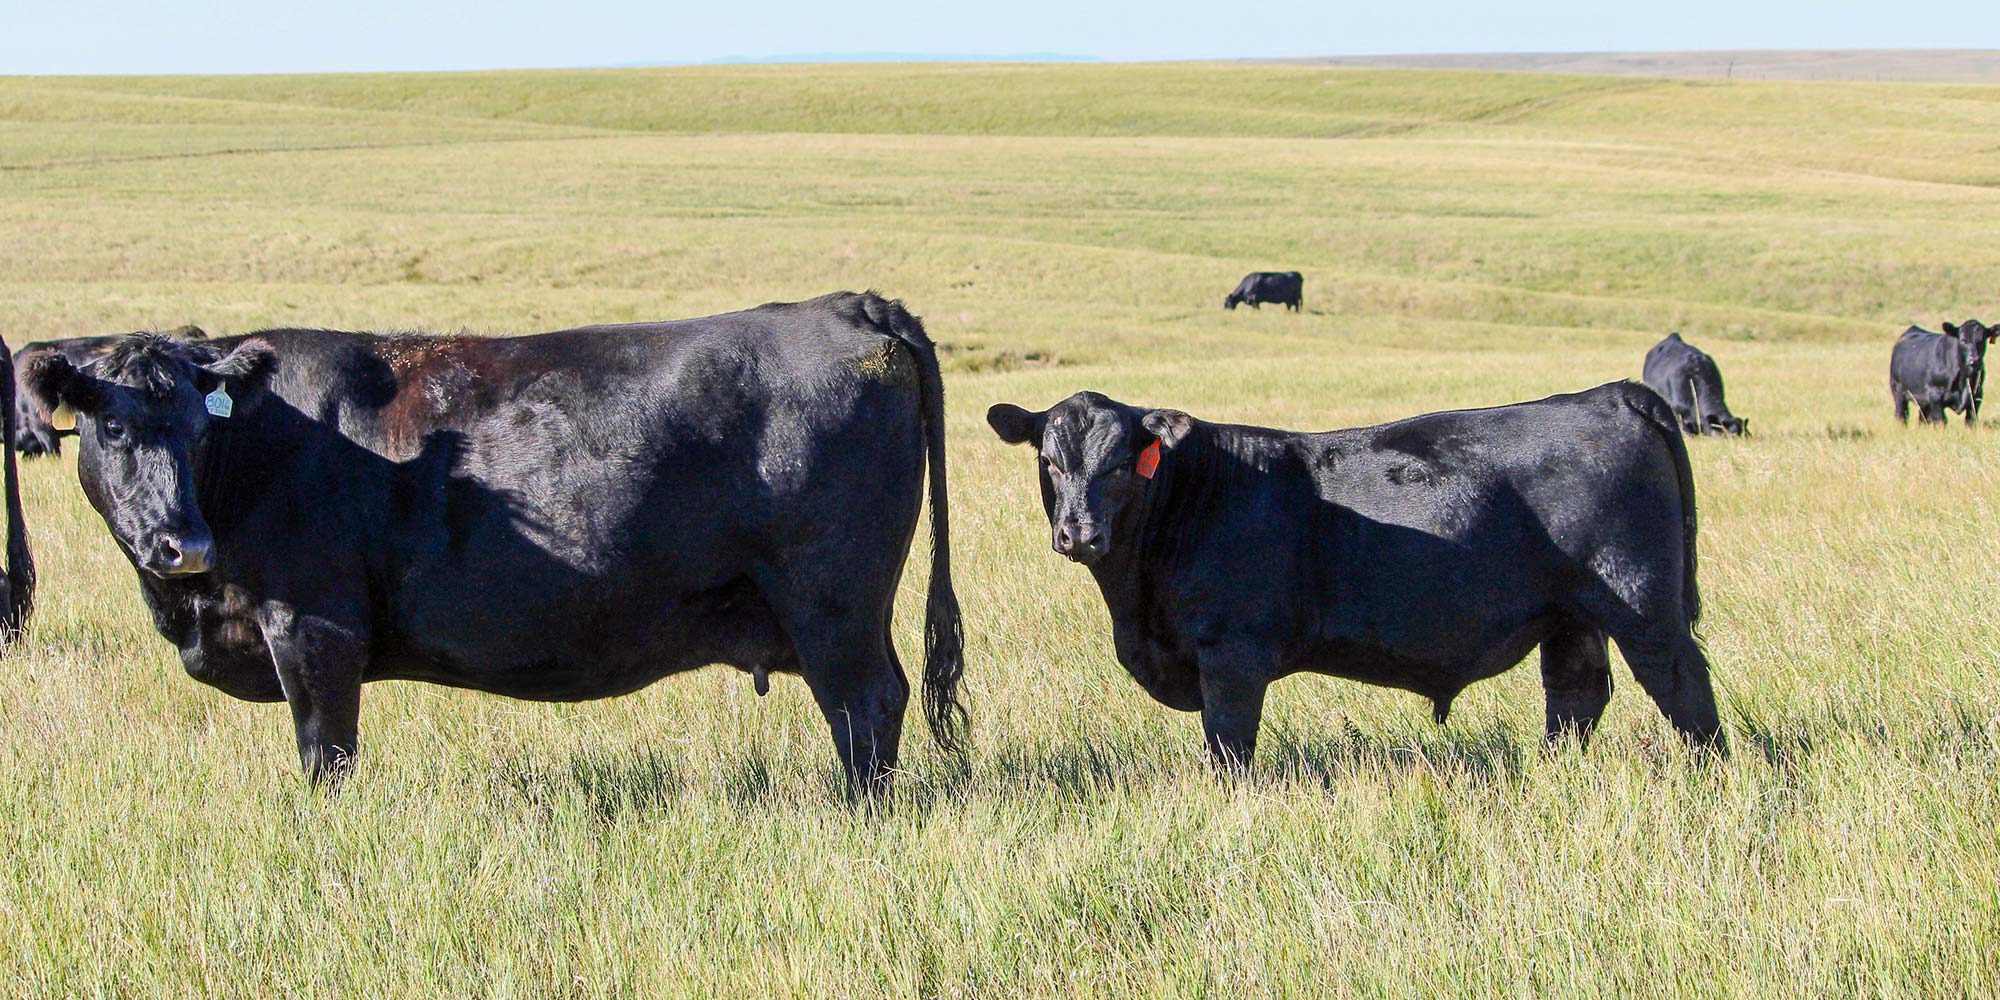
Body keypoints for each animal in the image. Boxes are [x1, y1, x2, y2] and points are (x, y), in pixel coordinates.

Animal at [984, 380, 1720, 764]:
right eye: (1049, 461)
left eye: (1118, 465)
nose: (1079, 533)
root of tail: (1611, 394)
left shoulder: (1231, 654)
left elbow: (1229, 746)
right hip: (1570, 616)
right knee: (1576, 695)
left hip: (1642, 604)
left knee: (1684, 689)